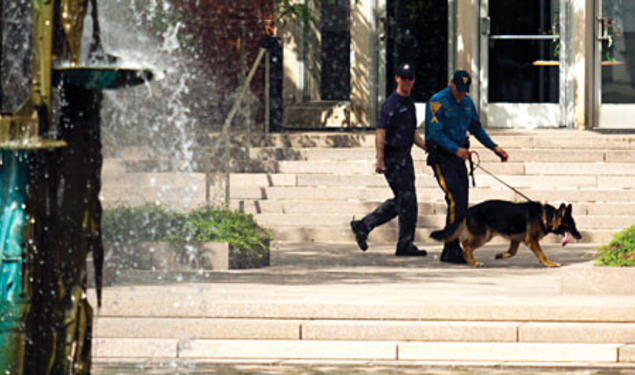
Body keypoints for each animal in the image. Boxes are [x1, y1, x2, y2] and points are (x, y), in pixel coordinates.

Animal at [432, 200, 580, 268]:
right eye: (571, 226)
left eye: (574, 225)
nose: (580, 237)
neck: (545, 216)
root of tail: (468, 210)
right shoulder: (532, 241)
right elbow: (542, 254)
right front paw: (549, 263)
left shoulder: (516, 240)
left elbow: (512, 252)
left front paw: (501, 255)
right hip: (483, 236)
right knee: (466, 245)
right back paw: (473, 262)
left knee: (465, 244)